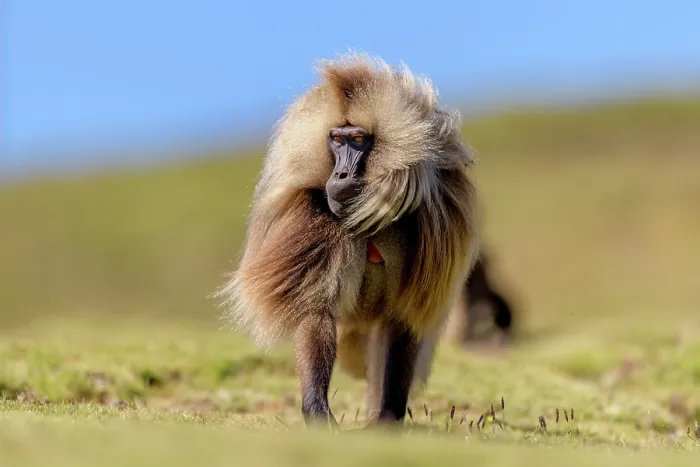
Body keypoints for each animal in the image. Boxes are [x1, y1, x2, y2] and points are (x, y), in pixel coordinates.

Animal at [217, 53, 479, 429]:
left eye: (357, 139)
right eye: (336, 139)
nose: (340, 175)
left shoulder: (437, 219)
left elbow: (405, 318)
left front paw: (386, 420)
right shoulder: (313, 214)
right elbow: (315, 308)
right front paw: (317, 411)